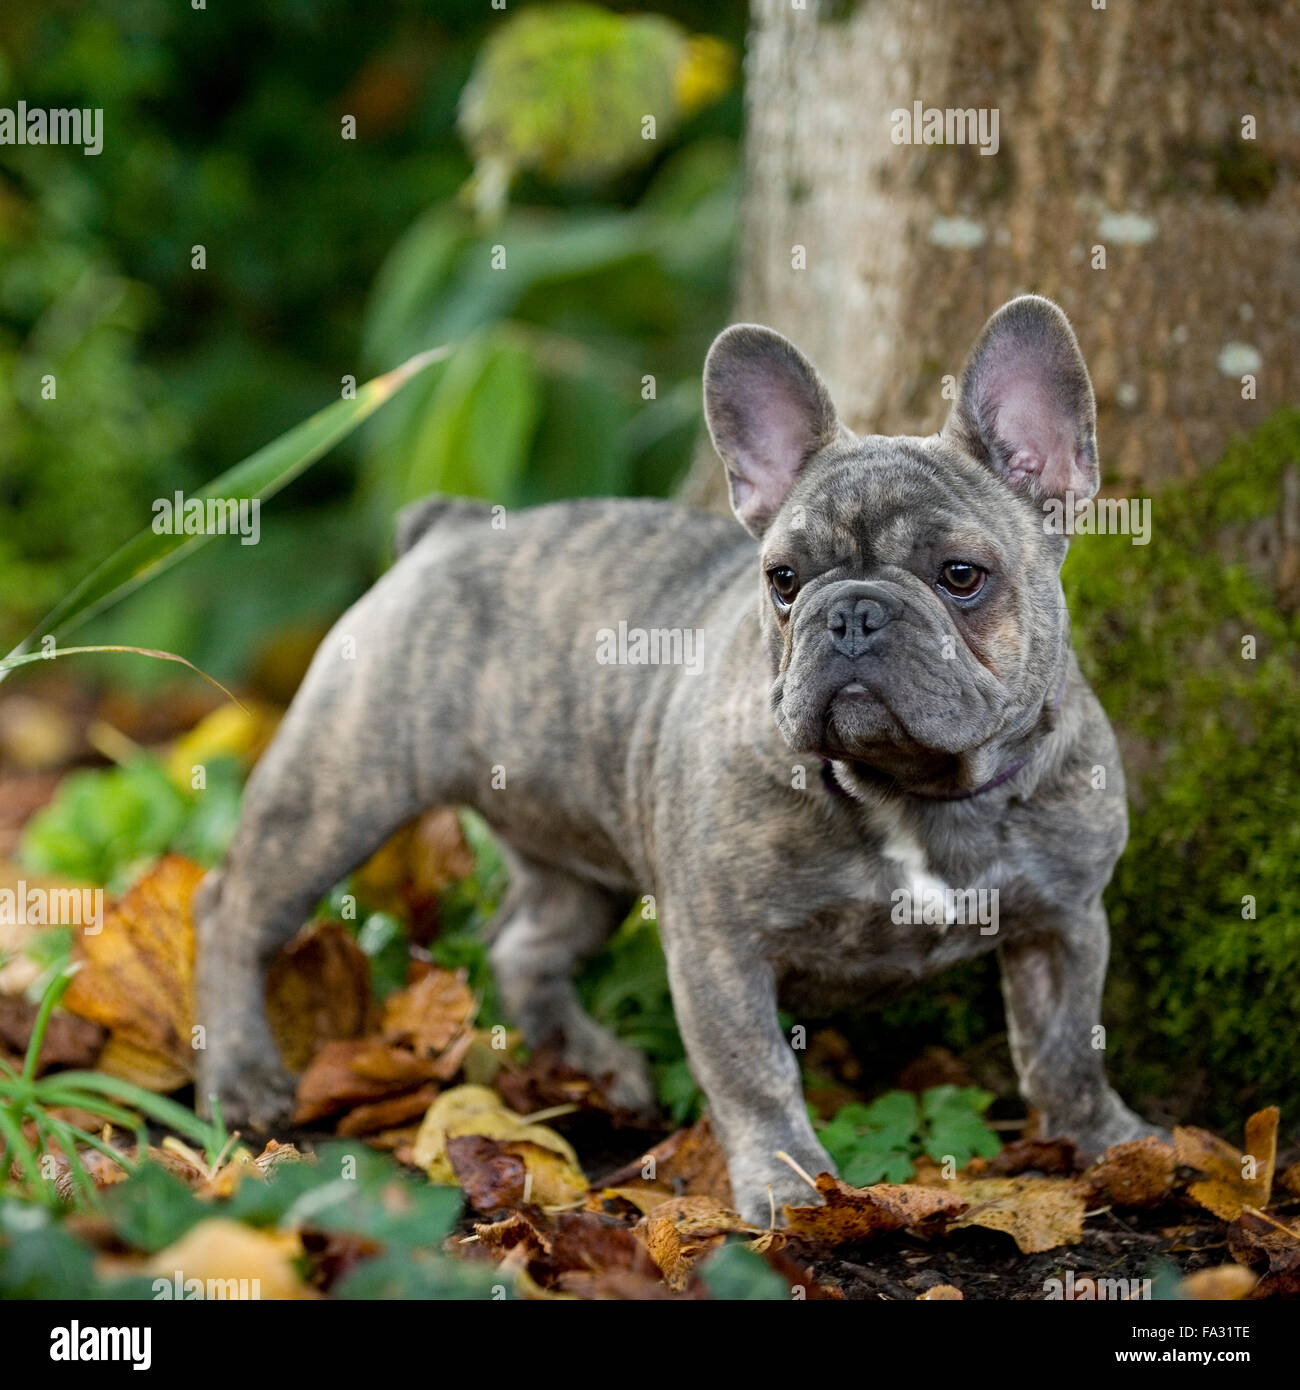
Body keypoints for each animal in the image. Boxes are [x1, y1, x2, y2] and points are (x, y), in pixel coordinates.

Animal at [193, 296, 1156, 1228]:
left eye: (961, 575)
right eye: (783, 580)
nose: (851, 613)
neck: (916, 793)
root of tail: (448, 530)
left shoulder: (1066, 920)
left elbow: (1067, 1048)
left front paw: (1110, 1141)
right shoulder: (719, 944)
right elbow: (753, 1070)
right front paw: (788, 1184)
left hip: (570, 854)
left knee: (524, 944)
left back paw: (593, 1064)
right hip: (339, 787)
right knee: (233, 911)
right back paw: (243, 1077)